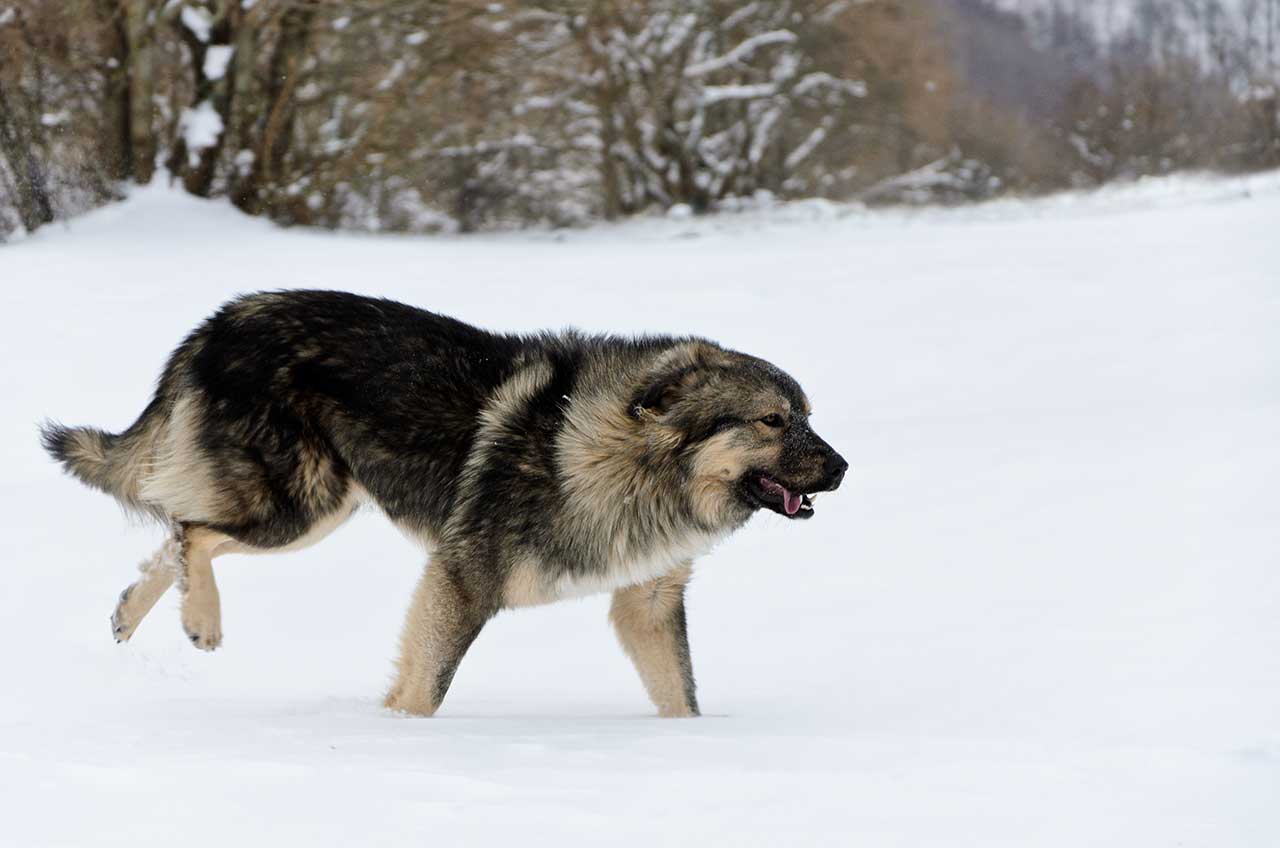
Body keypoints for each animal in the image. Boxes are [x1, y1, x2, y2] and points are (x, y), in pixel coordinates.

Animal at [40, 292, 844, 717]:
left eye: (808, 415)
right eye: (773, 421)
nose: (843, 468)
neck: (625, 459)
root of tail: (218, 320)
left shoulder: (644, 602)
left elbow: (680, 694)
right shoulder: (463, 578)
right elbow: (427, 683)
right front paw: (406, 742)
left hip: (321, 508)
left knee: (174, 531)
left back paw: (131, 615)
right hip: (299, 507)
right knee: (191, 530)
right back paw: (200, 621)